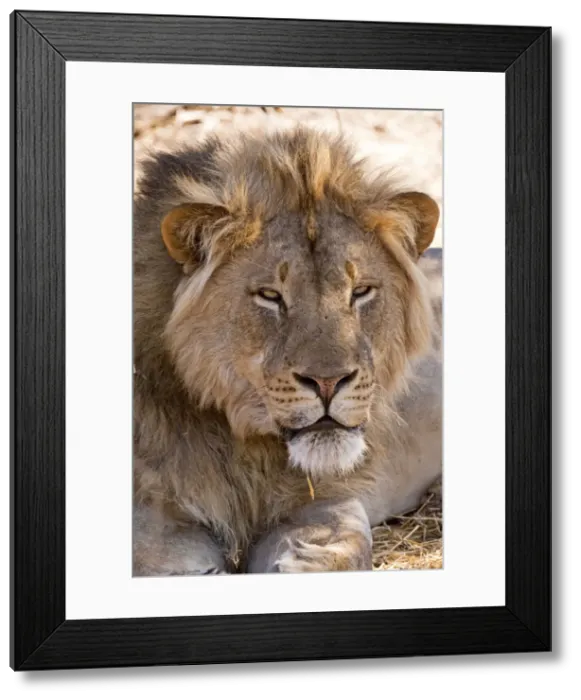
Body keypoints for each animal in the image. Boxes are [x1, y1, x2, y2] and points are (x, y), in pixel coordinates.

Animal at [132, 125, 442, 575]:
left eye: (361, 291)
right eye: (270, 296)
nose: (329, 382)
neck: (244, 447)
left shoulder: (329, 505)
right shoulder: (156, 531)